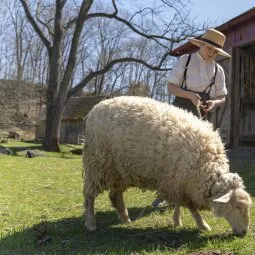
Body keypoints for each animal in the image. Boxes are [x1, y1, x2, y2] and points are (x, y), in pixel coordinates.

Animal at [82, 96, 252, 237]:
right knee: (89, 195)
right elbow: (191, 207)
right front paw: (202, 225)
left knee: (115, 195)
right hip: (96, 164)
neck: (207, 167)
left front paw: (177, 220)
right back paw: (91, 224)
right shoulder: (179, 182)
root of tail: (95, 109)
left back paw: (125, 219)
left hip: (119, 170)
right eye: (238, 207)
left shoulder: (177, 181)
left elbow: (179, 204)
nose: (244, 232)